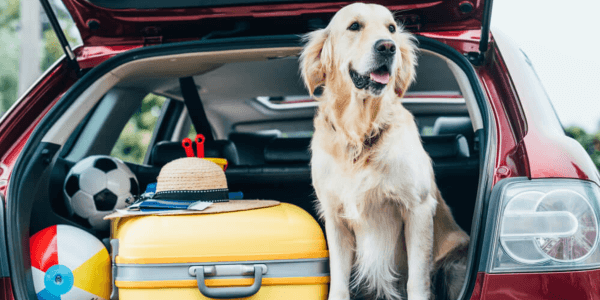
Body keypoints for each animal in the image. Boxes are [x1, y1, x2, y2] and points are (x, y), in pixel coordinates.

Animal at [302, 2, 472, 300]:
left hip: (456, 261)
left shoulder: (417, 208)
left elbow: (416, 280)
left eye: (391, 28)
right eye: (354, 26)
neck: (360, 134)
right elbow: (339, 282)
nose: (387, 47)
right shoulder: (335, 217)